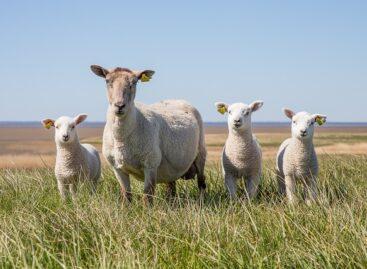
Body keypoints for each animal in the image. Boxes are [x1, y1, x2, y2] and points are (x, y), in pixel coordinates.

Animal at [90, 65, 207, 203]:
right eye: (107, 81)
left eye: (134, 82)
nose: (119, 106)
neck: (122, 137)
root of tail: (177, 100)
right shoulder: (117, 168)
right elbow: (126, 195)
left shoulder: (150, 164)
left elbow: (148, 195)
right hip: (171, 168)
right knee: (171, 186)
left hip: (200, 152)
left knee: (201, 182)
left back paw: (201, 202)